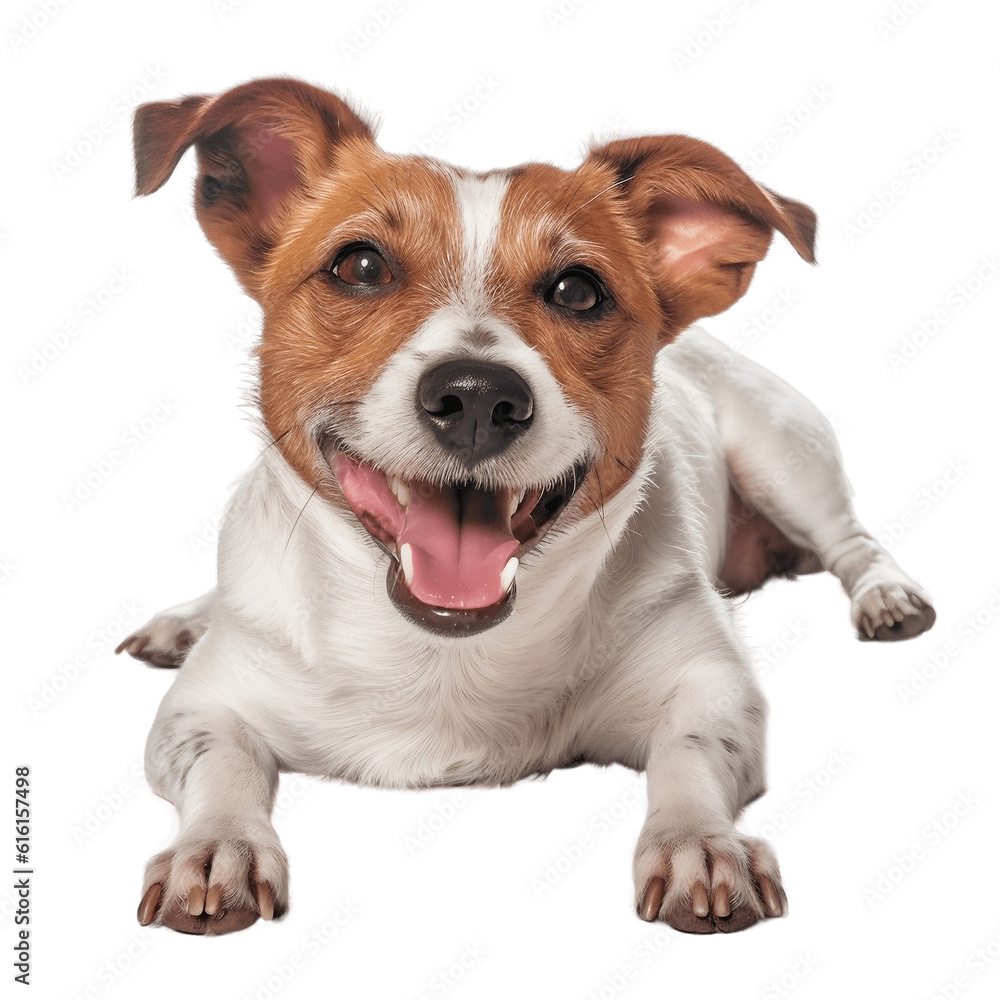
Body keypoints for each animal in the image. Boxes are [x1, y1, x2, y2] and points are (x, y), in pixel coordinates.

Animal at [119, 78, 936, 936]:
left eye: (578, 290)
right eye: (361, 265)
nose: (478, 397)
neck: (443, 655)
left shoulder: (713, 687)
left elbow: (688, 750)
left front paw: (699, 842)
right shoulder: (201, 708)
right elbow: (222, 761)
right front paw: (216, 844)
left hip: (781, 452)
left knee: (851, 538)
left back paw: (887, 595)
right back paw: (184, 619)